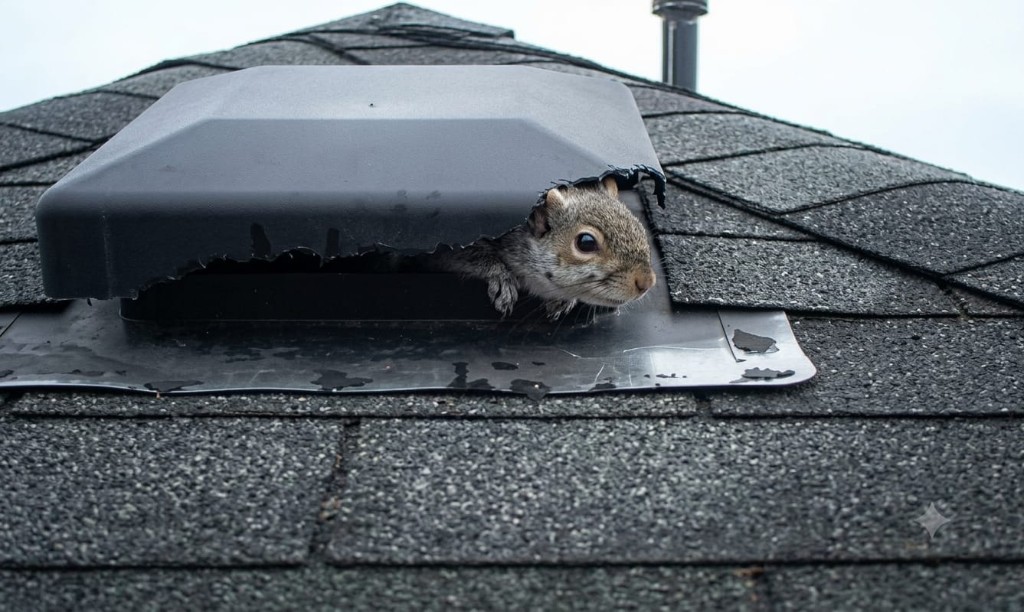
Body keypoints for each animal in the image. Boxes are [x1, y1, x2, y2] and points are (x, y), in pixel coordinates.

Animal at [433, 176, 656, 319]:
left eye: (639, 226)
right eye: (586, 243)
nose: (647, 282)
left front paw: (564, 300)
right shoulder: (453, 249)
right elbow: (471, 256)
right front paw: (501, 277)